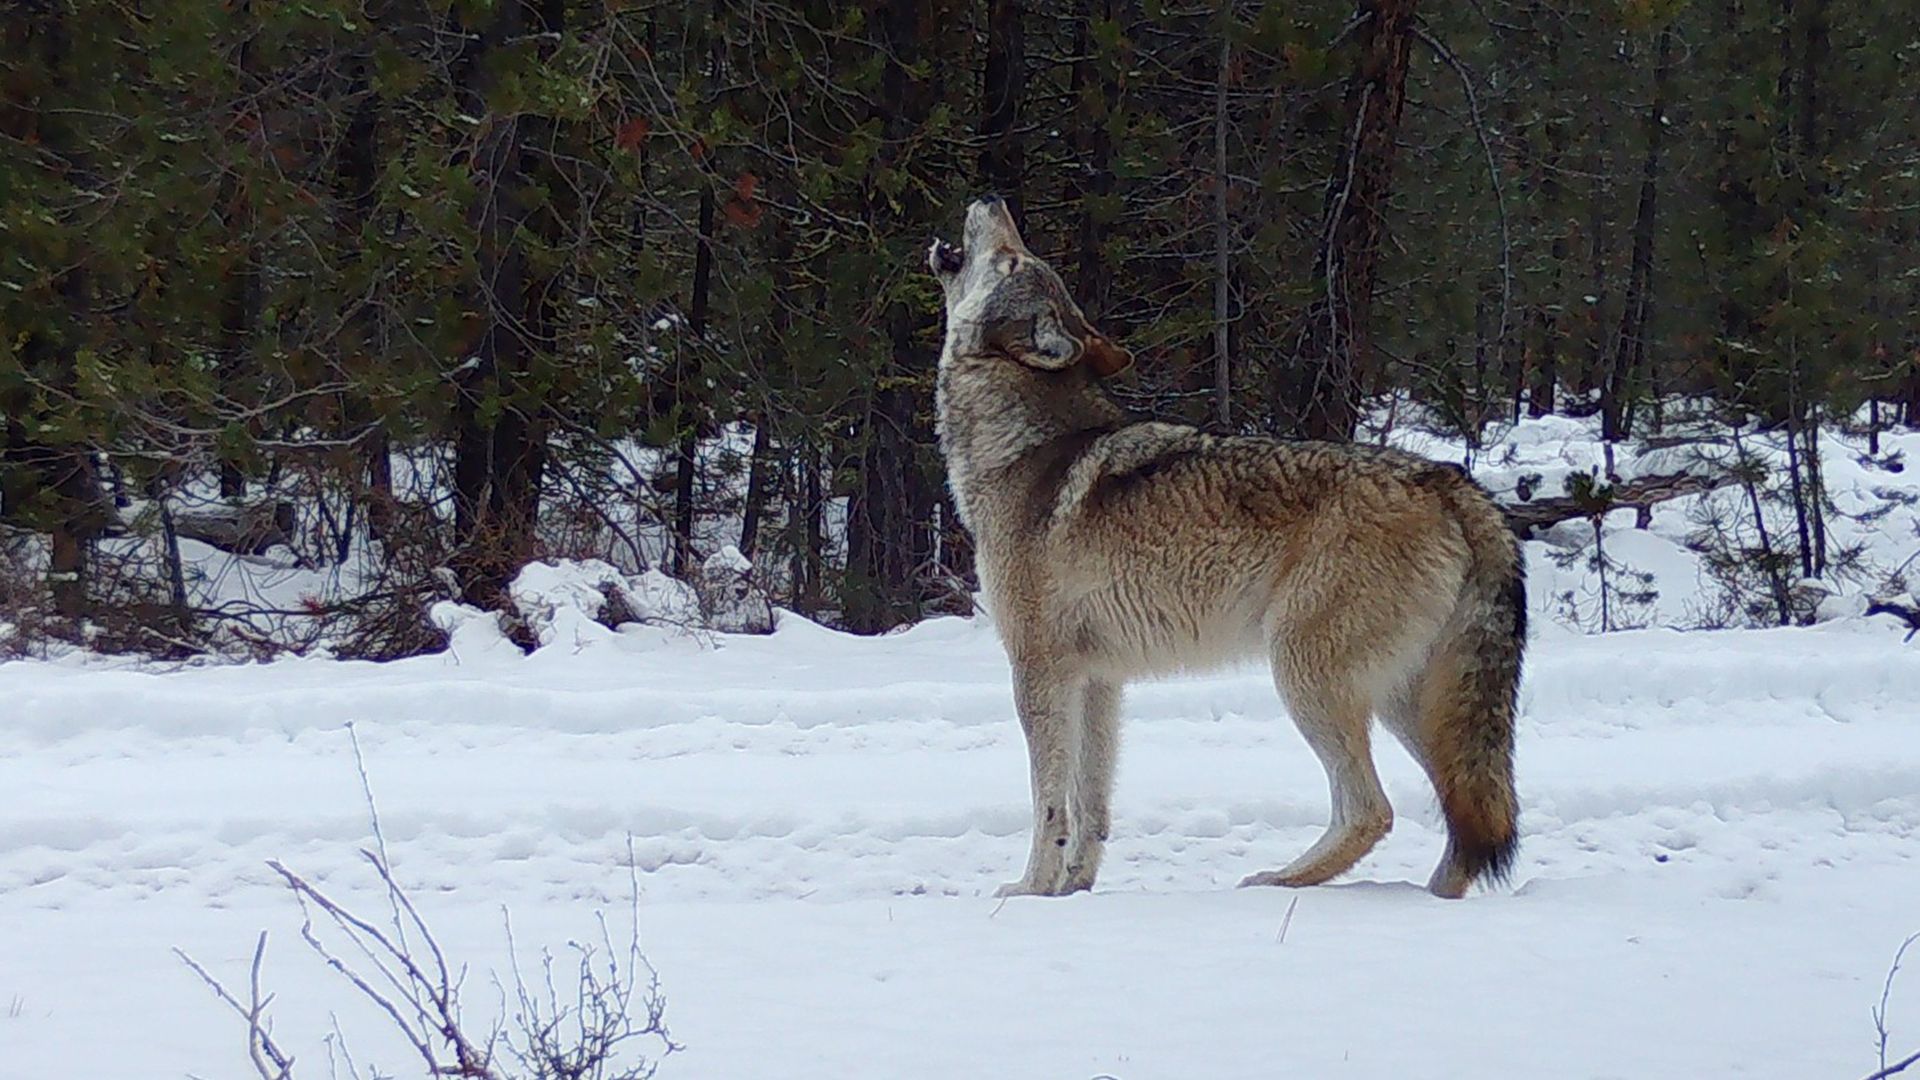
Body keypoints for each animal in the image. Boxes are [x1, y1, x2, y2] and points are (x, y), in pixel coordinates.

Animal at [928, 196, 1525, 899]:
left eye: (1013, 258)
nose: (990, 200)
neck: (1019, 449)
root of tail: (1448, 481)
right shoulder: (1097, 679)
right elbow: (1090, 804)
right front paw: (1075, 890)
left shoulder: (1039, 669)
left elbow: (1050, 804)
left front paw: (1029, 891)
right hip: (1409, 702)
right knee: (1467, 818)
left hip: (1306, 675)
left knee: (1372, 810)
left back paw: (1278, 881)